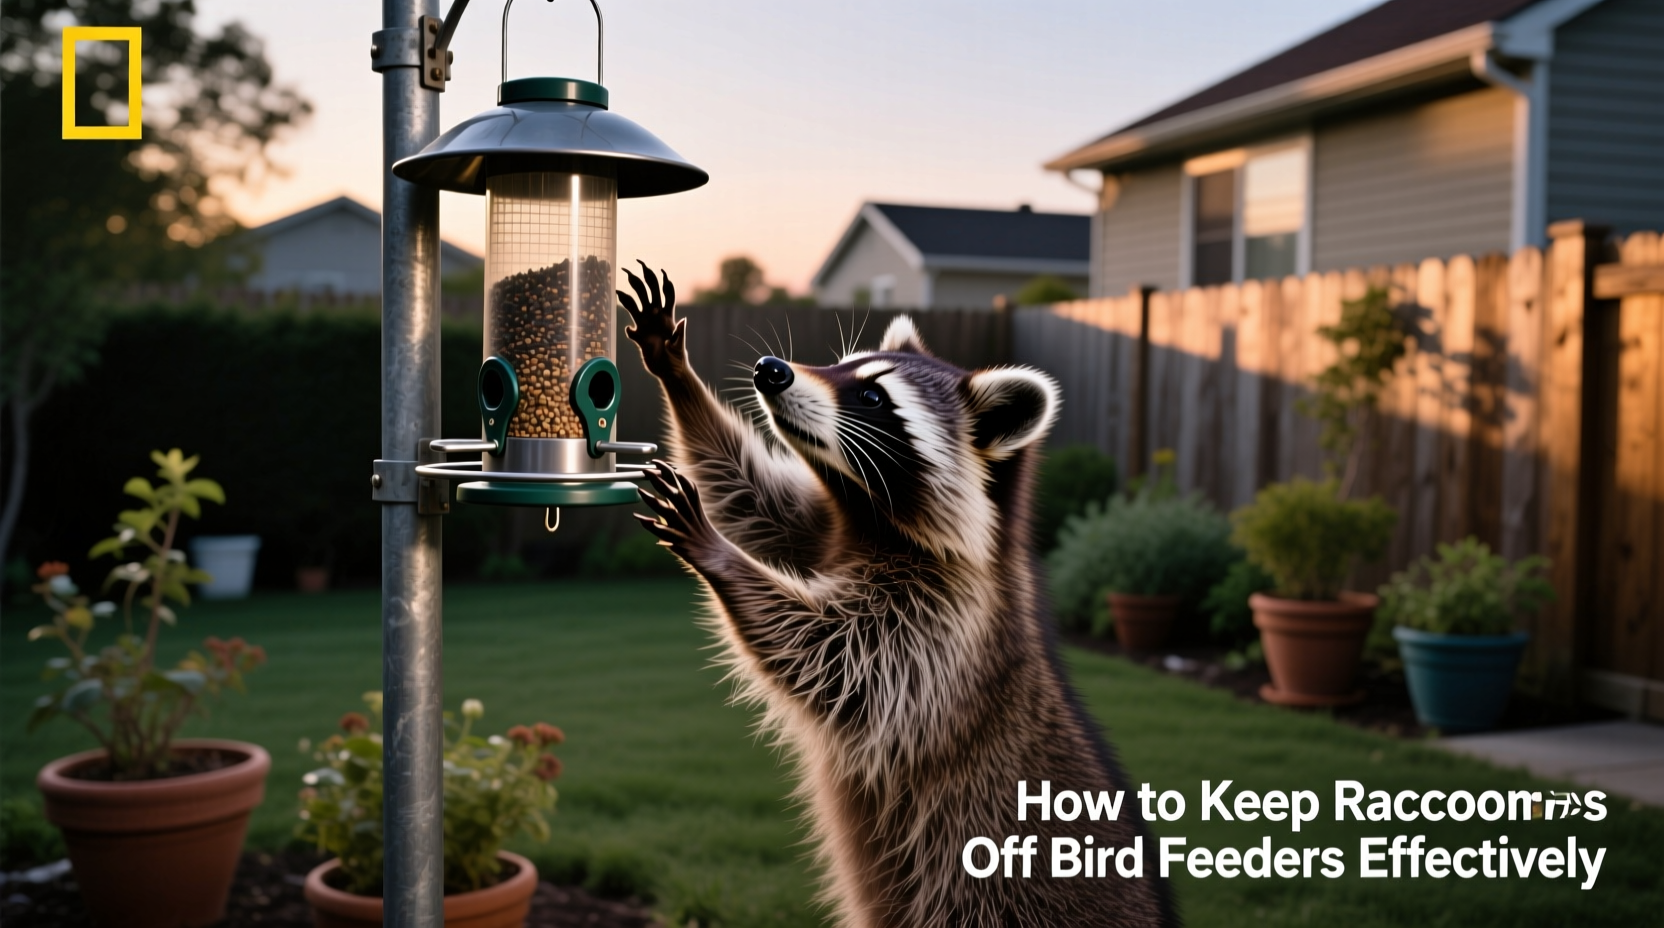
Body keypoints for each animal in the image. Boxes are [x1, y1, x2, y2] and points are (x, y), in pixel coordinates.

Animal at [618, 265, 1176, 928]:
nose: (771, 369)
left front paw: (718, 553)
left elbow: (835, 658)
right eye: (840, 367)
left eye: (874, 398)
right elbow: (752, 497)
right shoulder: (826, 529)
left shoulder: (944, 623)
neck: (871, 520)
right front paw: (675, 372)